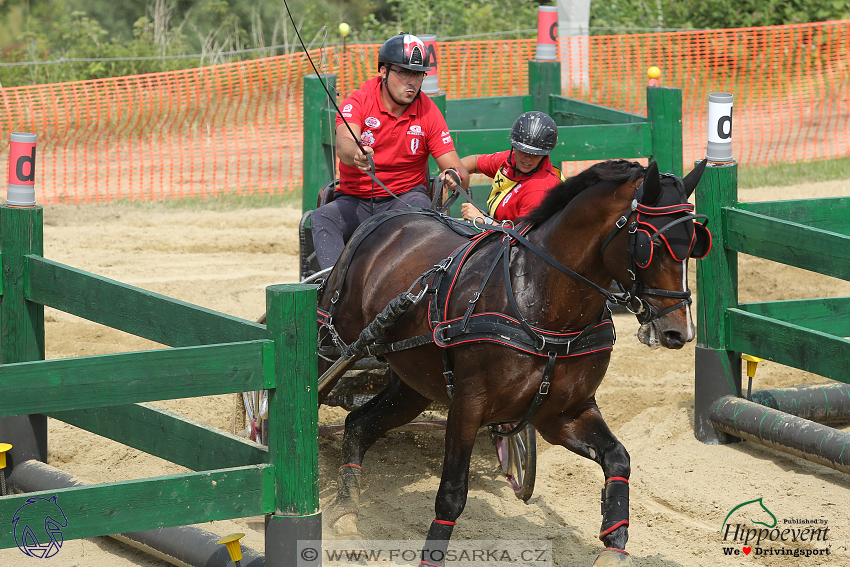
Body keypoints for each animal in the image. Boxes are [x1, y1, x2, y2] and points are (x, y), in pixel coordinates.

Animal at [314, 160, 704, 567]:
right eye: (649, 244)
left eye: (695, 243)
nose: (680, 331)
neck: (542, 303)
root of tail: (389, 218)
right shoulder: (468, 406)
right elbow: (451, 494)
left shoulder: (563, 414)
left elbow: (617, 459)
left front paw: (614, 548)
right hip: (335, 343)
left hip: (413, 383)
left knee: (358, 425)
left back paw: (346, 515)